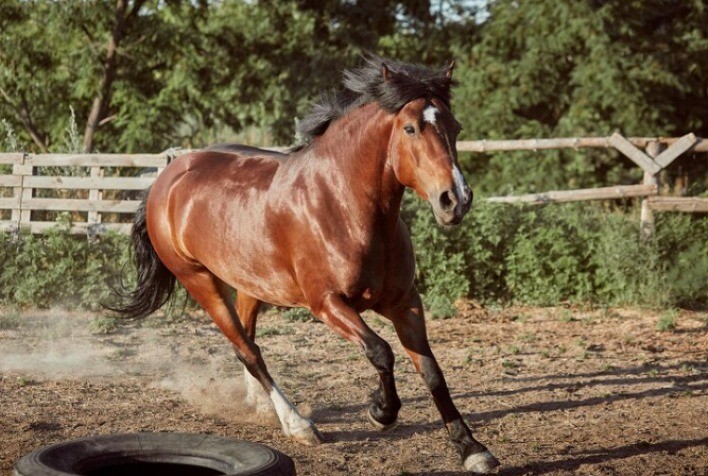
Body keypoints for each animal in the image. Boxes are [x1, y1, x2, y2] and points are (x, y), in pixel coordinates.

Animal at [109, 54, 498, 472]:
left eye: (454, 127)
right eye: (410, 128)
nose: (455, 200)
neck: (343, 205)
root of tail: (166, 179)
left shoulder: (405, 302)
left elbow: (432, 372)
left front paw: (473, 450)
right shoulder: (327, 304)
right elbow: (381, 351)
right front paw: (381, 411)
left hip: (250, 283)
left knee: (247, 342)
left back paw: (264, 407)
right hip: (199, 281)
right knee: (249, 351)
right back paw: (298, 425)